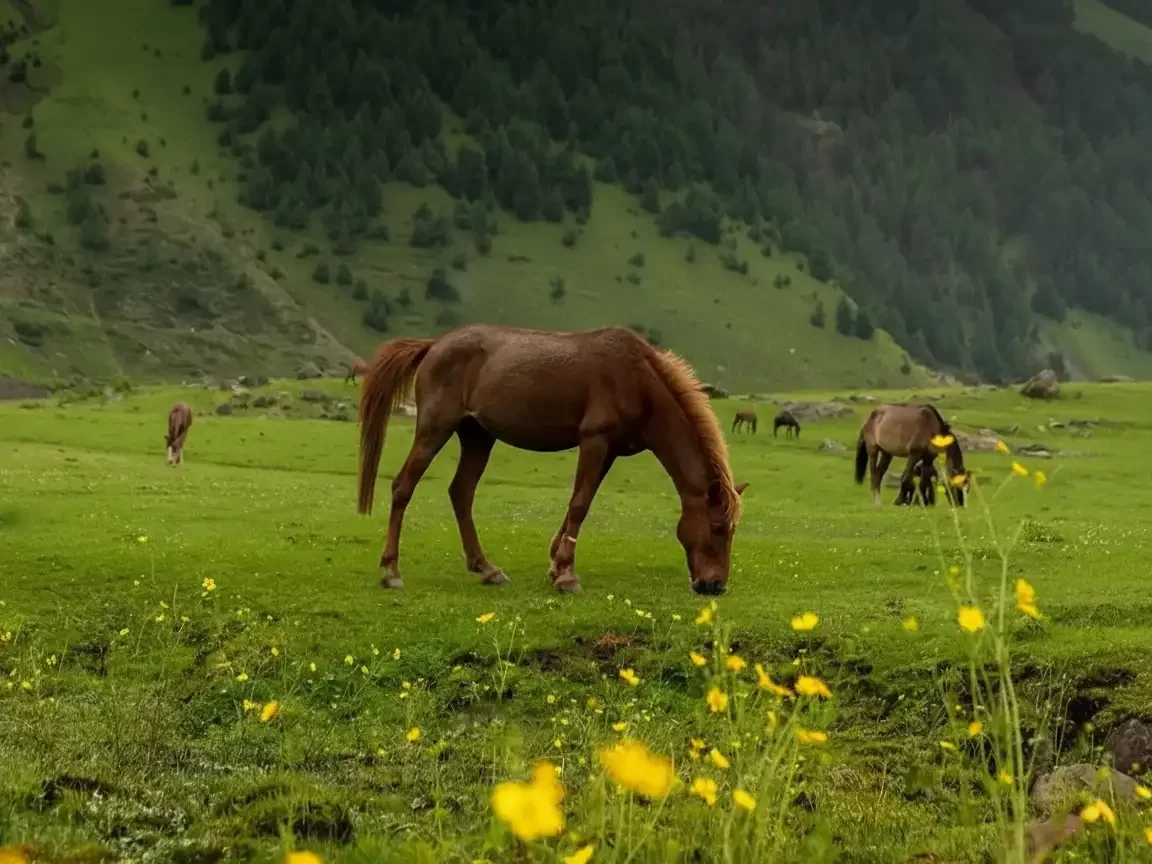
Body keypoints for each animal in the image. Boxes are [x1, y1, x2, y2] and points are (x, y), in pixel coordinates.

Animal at [357, 324, 748, 596]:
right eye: (717, 528)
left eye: (732, 530)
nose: (716, 586)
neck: (639, 381)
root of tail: (434, 345)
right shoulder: (594, 441)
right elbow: (579, 504)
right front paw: (567, 575)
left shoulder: (608, 451)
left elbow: (580, 502)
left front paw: (555, 565)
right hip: (435, 428)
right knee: (403, 487)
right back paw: (391, 571)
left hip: (477, 436)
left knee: (461, 493)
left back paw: (486, 568)